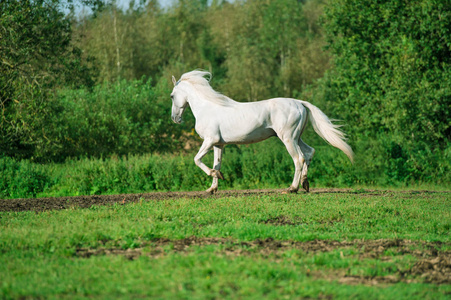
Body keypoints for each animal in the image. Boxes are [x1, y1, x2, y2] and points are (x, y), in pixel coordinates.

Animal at [170, 69, 354, 195]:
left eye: (172, 96)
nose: (175, 118)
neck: (207, 108)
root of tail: (300, 103)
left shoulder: (209, 140)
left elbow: (197, 160)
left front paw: (216, 177)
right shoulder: (218, 144)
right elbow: (217, 163)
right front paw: (212, 188)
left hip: (288, 138)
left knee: (299, 159)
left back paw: (292, 188)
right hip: (297, 138)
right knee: (309, 153)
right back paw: (305, 184)